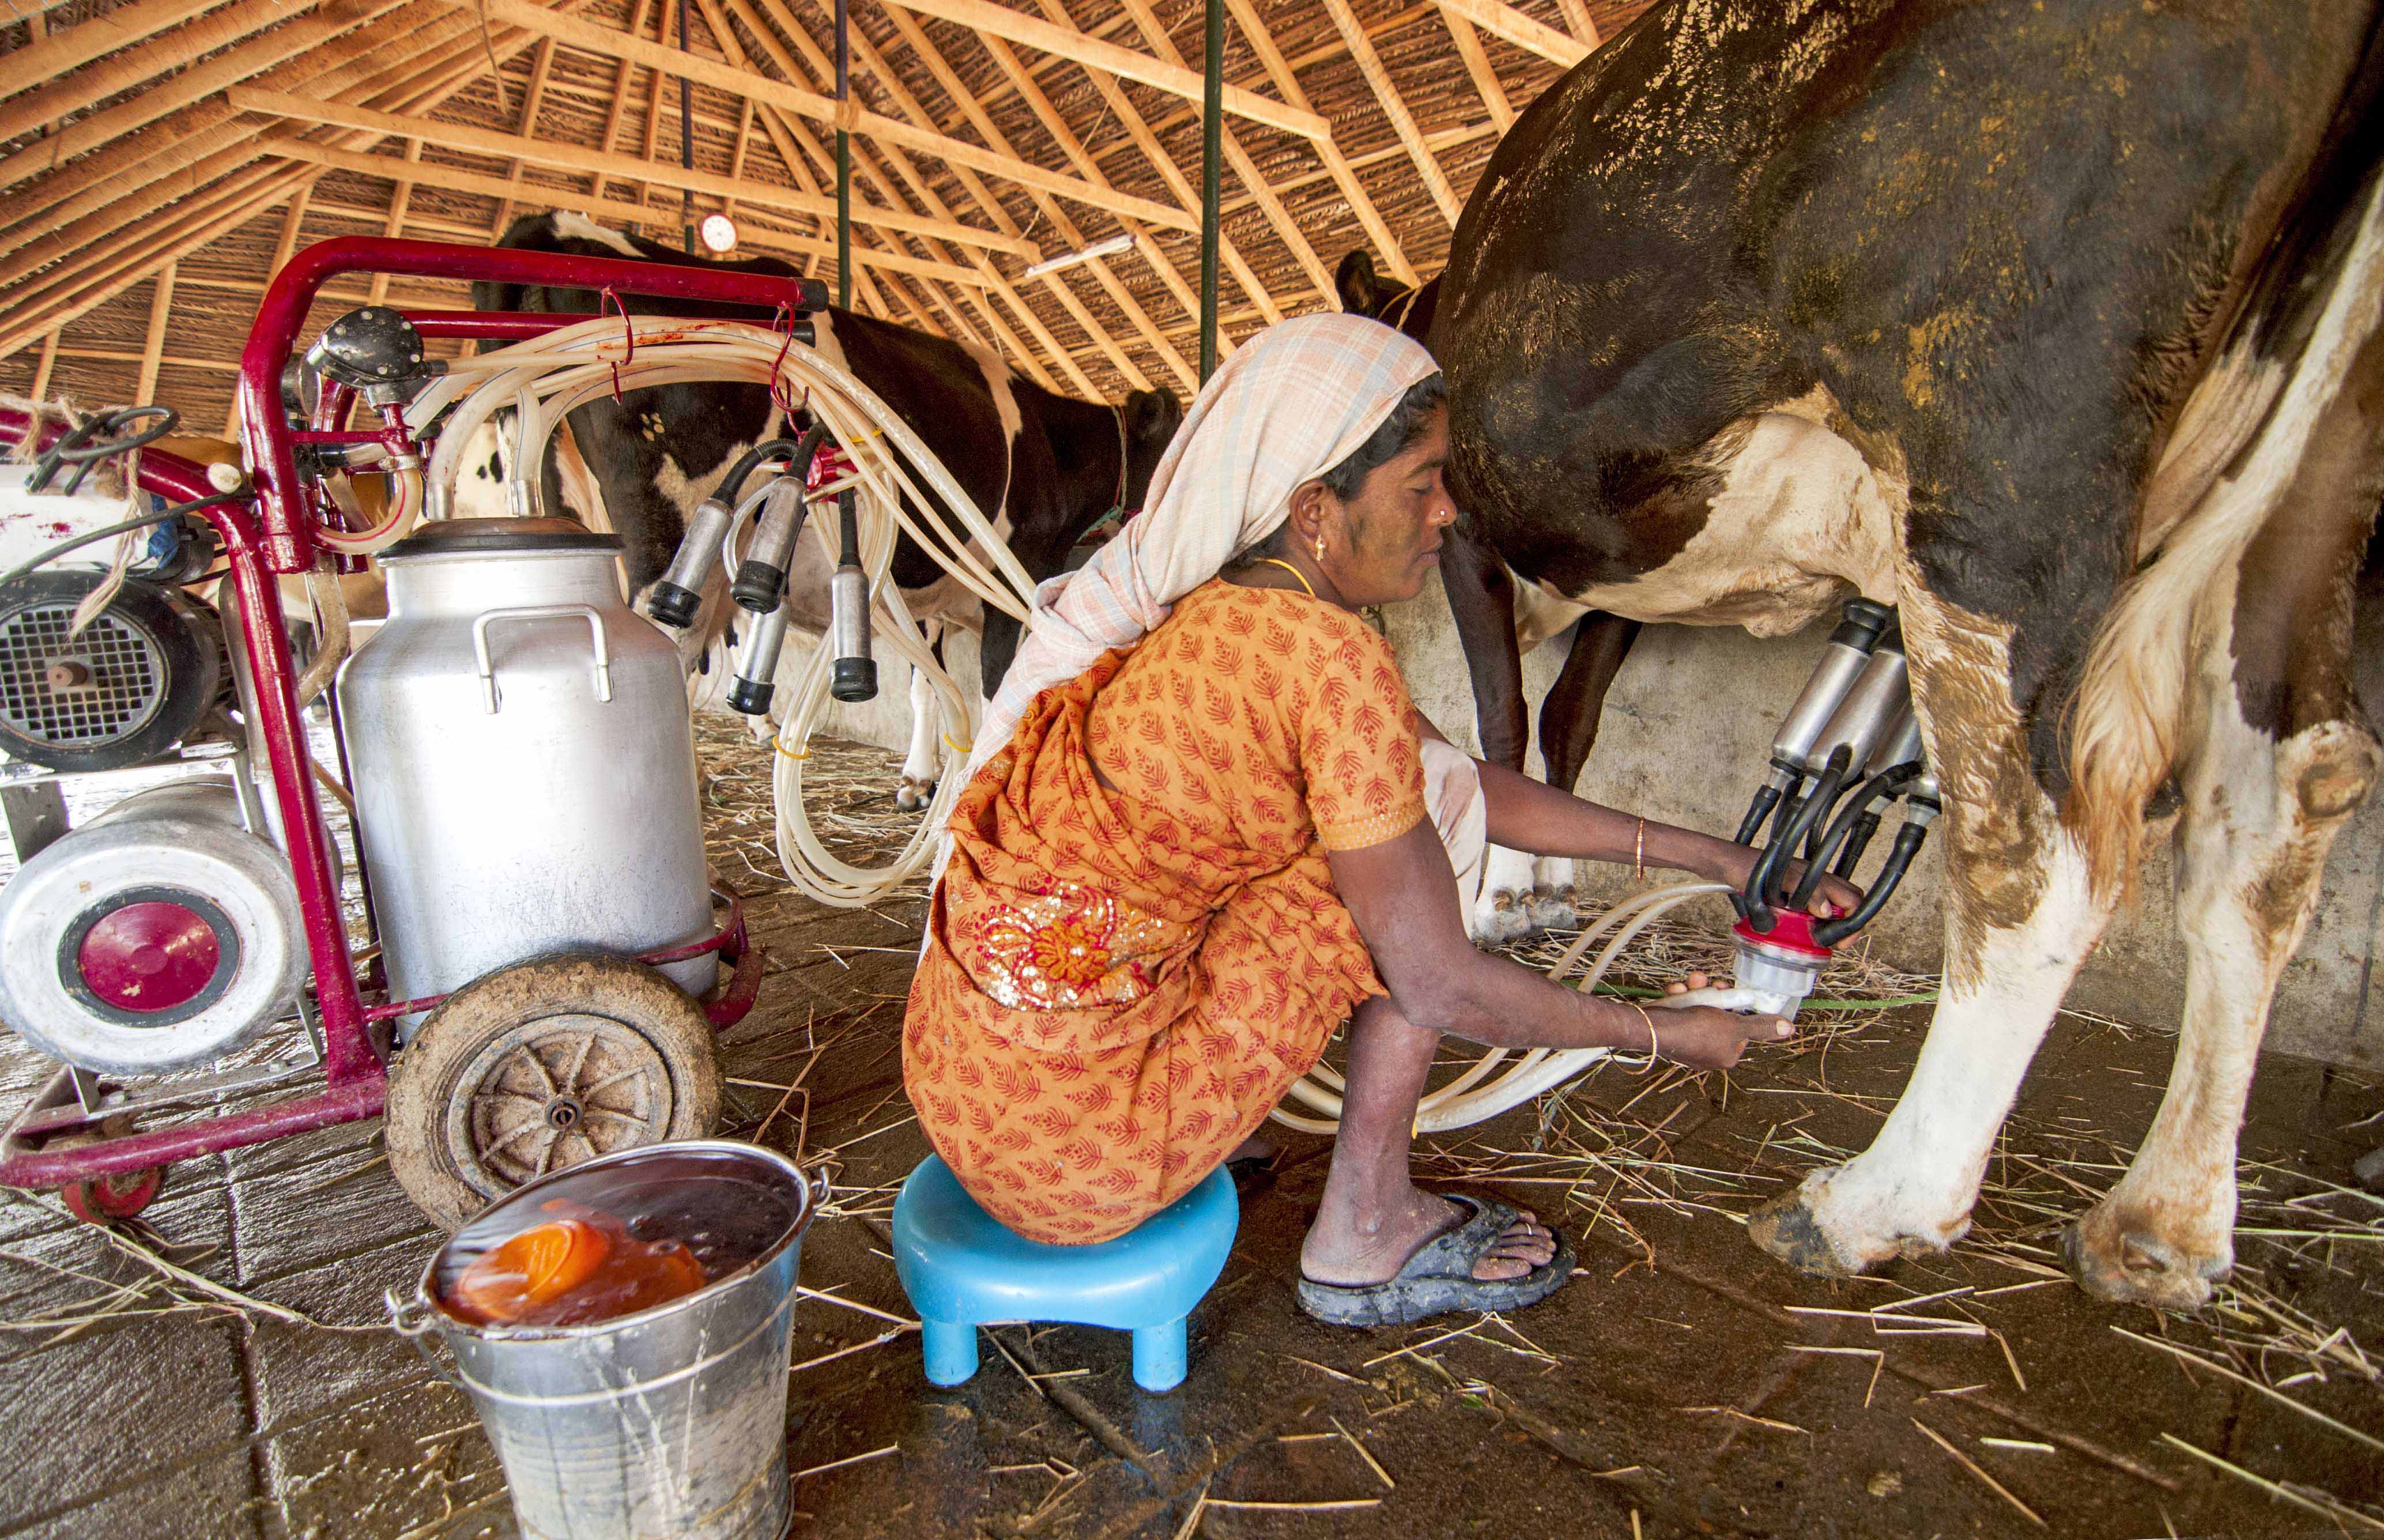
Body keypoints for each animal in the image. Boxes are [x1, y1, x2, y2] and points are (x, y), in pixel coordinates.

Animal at [474, 216, 1182, 801]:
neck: (1050, 441)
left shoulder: (921, 589)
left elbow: (924, 685)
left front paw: (918, 779)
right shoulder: (1016, 581)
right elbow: (997, 692)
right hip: (670, 557)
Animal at [1430, 0, 2384, 1306]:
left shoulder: (1467, 529)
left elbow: (1504, 718)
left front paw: (1506, 893)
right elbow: (1563, 717)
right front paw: (1541, 882)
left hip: (2002, 442)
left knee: (2035, 848)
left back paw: (1877, 1199)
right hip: (2316, 478)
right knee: (2279, 810)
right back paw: (2162, 1221)